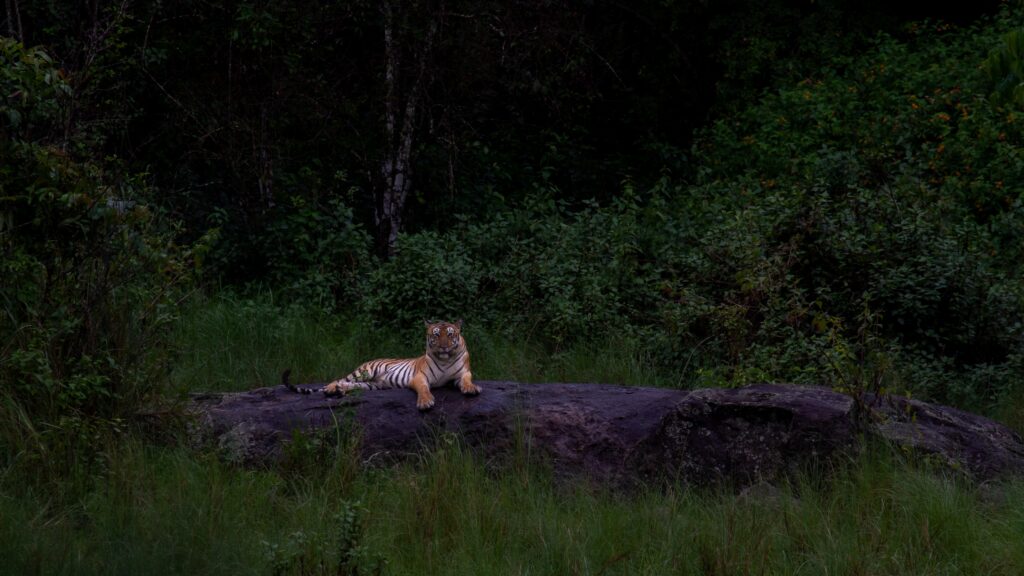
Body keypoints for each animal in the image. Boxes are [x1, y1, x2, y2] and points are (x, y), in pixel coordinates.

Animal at [283, 319, 480, 410]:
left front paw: (472, 388)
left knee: (351, 385)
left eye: (450, 334)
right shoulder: (420, 376)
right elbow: (424, 389)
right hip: (364, 372)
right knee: (339, 379)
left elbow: (467, 380)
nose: (444, 346)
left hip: (372, 385)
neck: (445, 359)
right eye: (436, 335)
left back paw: (340, 390)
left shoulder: (462, 373)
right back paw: (332, 388)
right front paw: (425, 402)